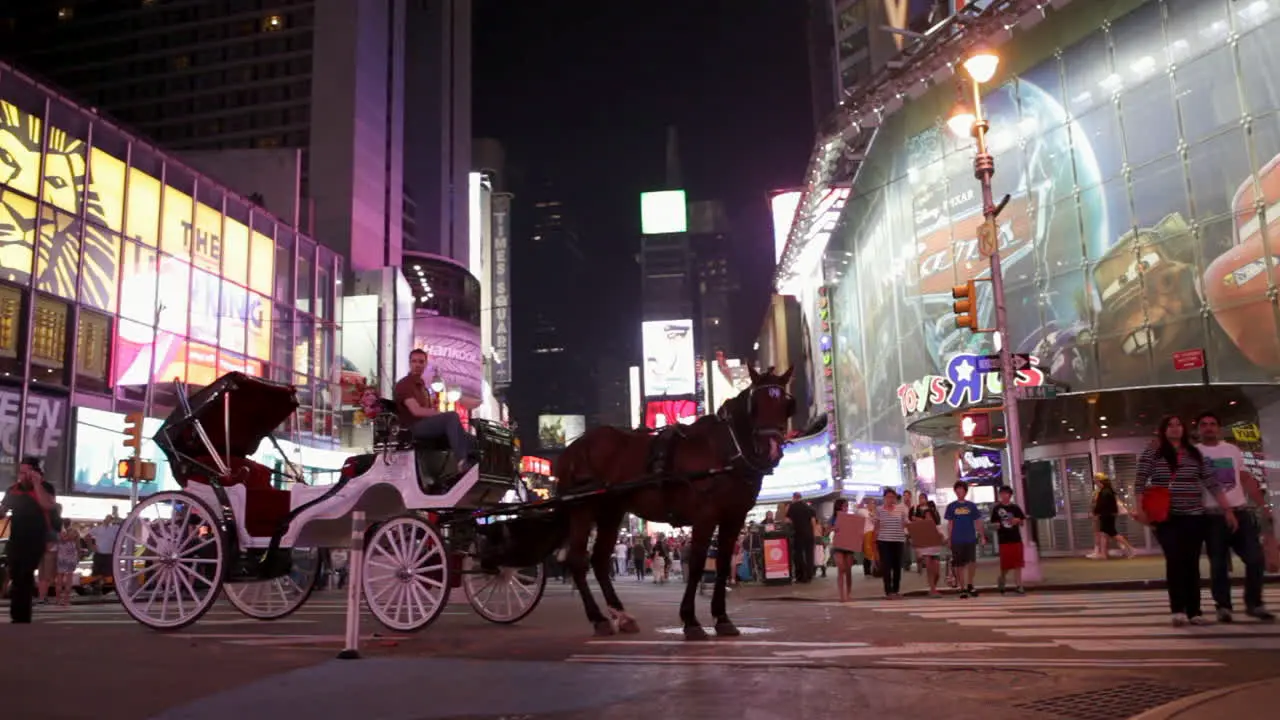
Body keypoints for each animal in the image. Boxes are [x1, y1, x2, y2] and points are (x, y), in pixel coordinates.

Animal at [555, 363, 793, 638]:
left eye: (786, 404)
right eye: (756, 404)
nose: (772, 449)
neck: (726, 449)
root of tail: (573, 449)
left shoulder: (734, 516)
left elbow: (723, 563)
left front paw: (722, 618)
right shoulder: (706, 515)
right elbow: (698, 562)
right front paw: (691, 620)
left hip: (610, 512)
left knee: (600, 560)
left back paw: (622, 616)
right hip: (582, 509)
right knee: (577, 560)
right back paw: (599, 618)